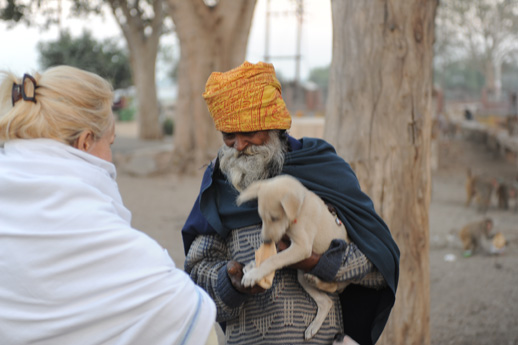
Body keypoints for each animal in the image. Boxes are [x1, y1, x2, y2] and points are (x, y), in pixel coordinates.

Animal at [238, 175, 352, 338]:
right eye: (262, 218)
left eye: (274, 218)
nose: (265, 240)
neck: (300, 209)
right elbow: (274, 256)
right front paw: (253, 265)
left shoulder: (302, 247)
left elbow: (275, 259)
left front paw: (254, 274)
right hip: (302, 278)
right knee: (326, 302)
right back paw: (313, 327)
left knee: (333, 286)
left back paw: (317, 280)